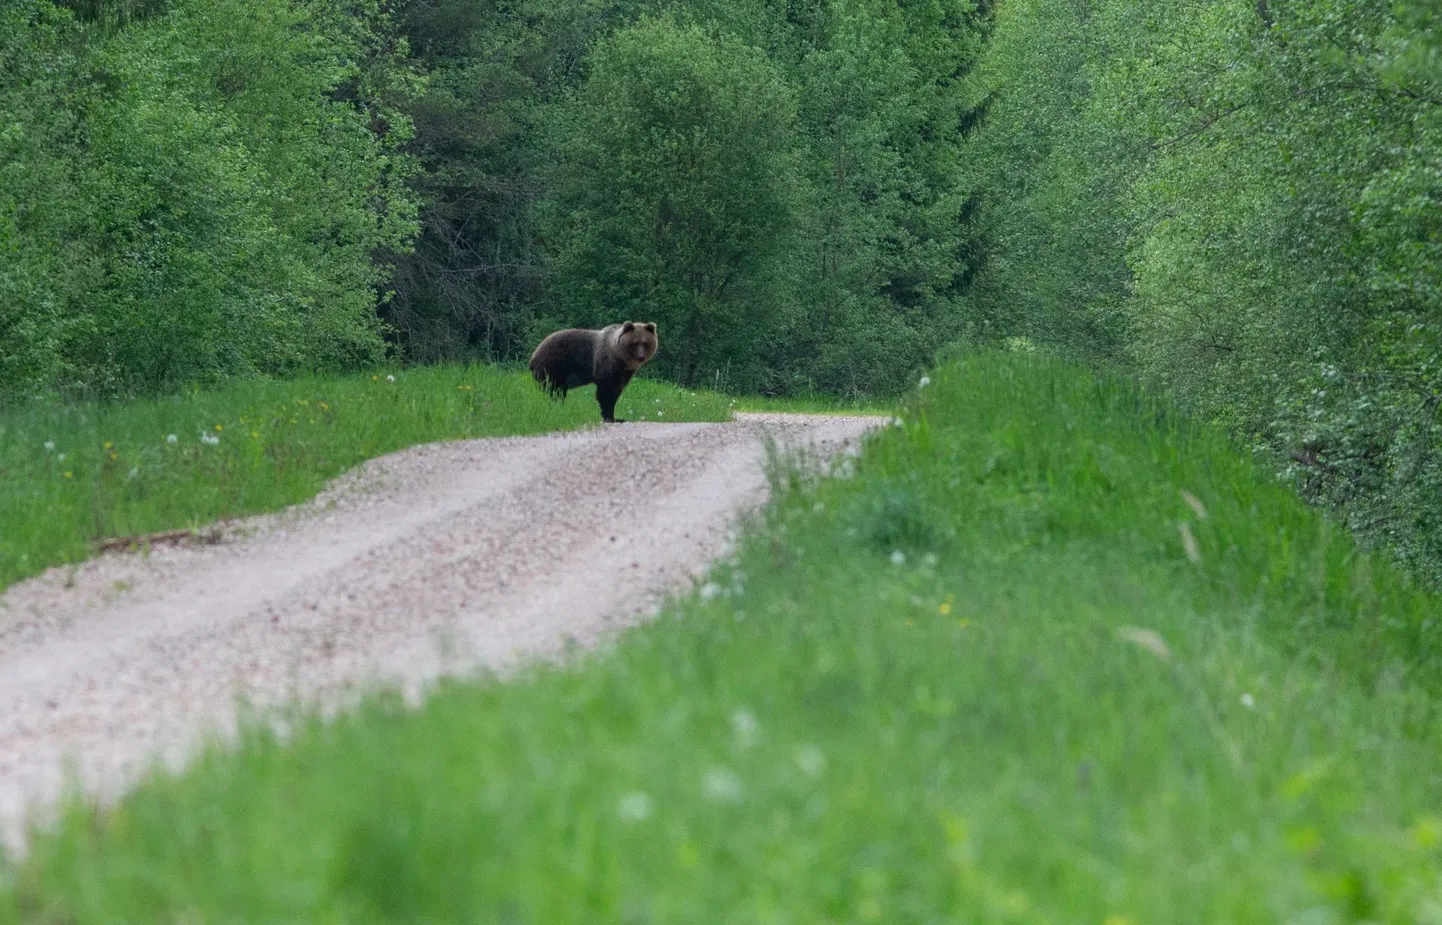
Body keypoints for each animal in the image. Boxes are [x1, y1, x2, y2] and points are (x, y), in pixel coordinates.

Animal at [530, 320, 660, 421]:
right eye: (634, 343)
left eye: (645, 343)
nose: (641, 356)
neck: (619, 357)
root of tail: (534, 354)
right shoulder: (605, 365)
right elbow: (605, 392)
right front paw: (608, 416)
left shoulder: (624, 373)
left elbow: (616, 392)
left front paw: (616, 417)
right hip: (553, 365)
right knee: (553, 390)